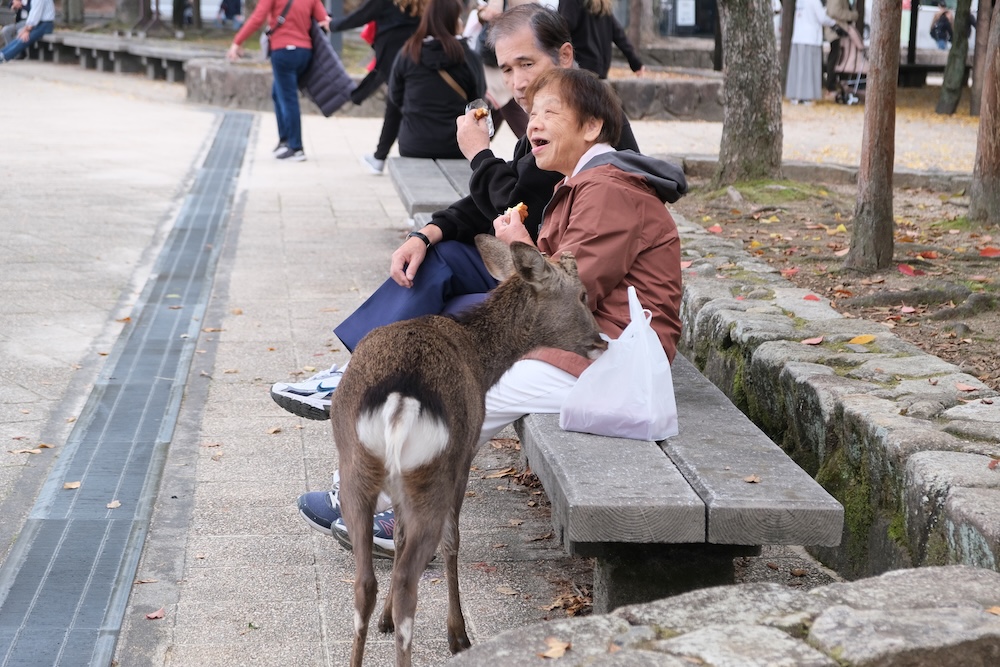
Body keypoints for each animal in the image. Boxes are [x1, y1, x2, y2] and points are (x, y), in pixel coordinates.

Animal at [332, 232, 604, 664]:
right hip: (432, 470)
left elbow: (401, 535)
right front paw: (457, 635)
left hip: (356, 467)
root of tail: (399, 400)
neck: (481, 358)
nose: (601, 340)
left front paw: (385, 620)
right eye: (581, 294)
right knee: (410, 577)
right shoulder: (466, 456)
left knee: (363, 583)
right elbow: (453, 541)